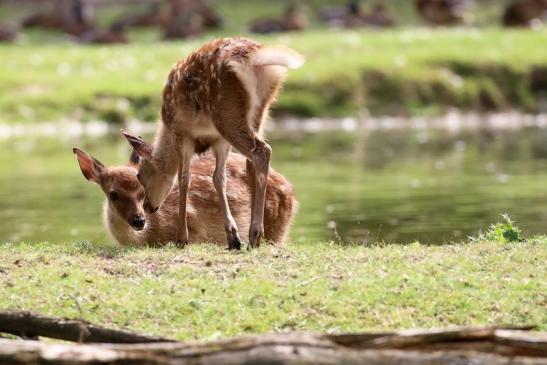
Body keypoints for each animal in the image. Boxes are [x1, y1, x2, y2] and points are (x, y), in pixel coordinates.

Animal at [73, 149, 298, 247]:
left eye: (143, 191)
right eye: (113, 194)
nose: (139, 220)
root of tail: (292, 191)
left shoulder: (195, 228)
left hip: (277, 228)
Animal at [123, 37, 304, 249]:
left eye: (140, 175)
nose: (148, 207)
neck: (166, 131)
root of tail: (256, 58)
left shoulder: (182, 133)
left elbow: (184, 179)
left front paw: (181, 237)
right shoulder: (219, 140)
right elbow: (218, 178)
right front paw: (233, 237)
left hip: (226, 110)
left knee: (261, 151)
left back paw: (255, 234)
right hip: (260, 111)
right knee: (253, 161)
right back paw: (253, 233)